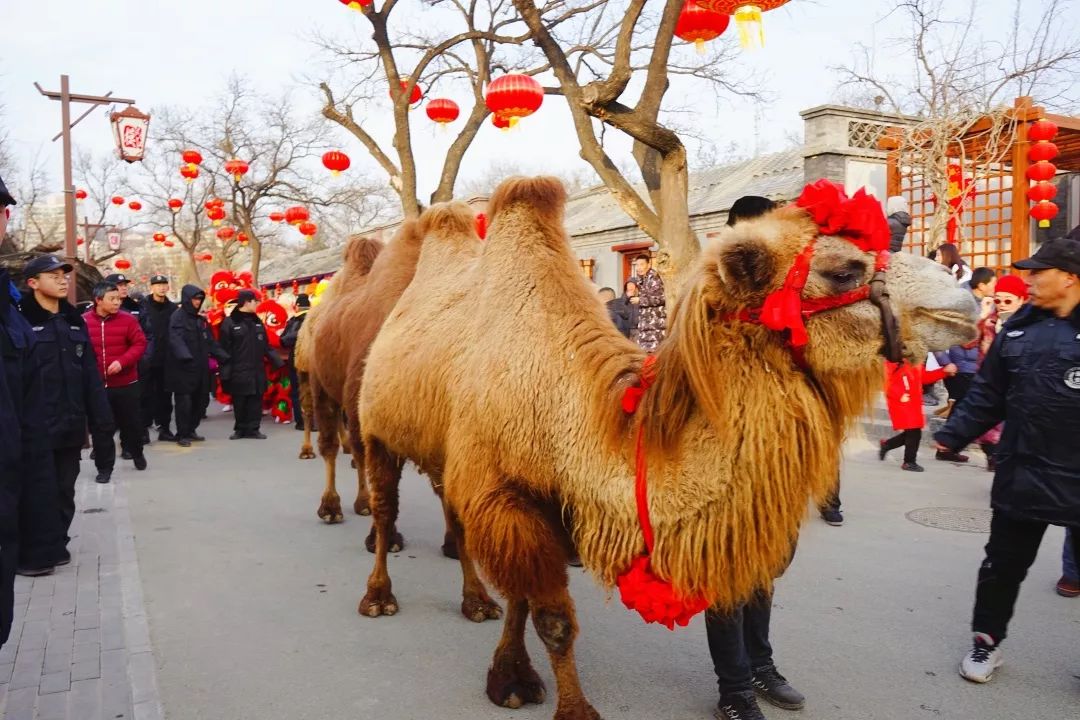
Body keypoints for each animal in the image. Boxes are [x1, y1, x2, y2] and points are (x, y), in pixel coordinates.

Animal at [358, 175, 984, 720]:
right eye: (842, 268)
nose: (965, 304)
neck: (572, 410)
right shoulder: (505, 495)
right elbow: (553, 617)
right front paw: (570, 706)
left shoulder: (530, 503)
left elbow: (524, 597)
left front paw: (511, 678)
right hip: (375, 428)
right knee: (386, 510)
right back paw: (378, 596)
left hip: (443, 460)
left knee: (454, 519)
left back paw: (474, 603)